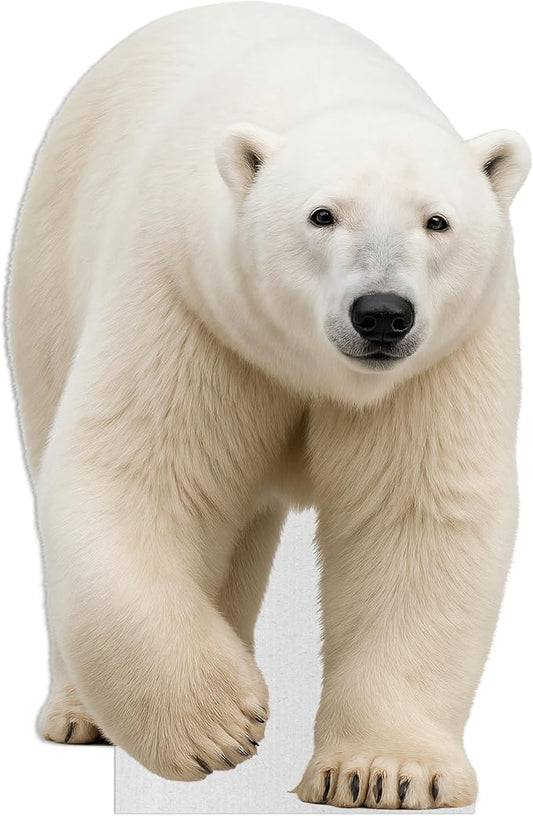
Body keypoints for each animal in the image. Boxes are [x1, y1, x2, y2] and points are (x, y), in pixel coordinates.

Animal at [7, 0, 530, 809]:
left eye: (436, 221)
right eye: (322, 215)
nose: (382, 313)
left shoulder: (442, 360)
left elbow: (414, 514)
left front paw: (380, 771)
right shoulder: (191, 304)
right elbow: (139, 477)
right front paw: (218, 722)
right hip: (47, 274)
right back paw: (83, 714)